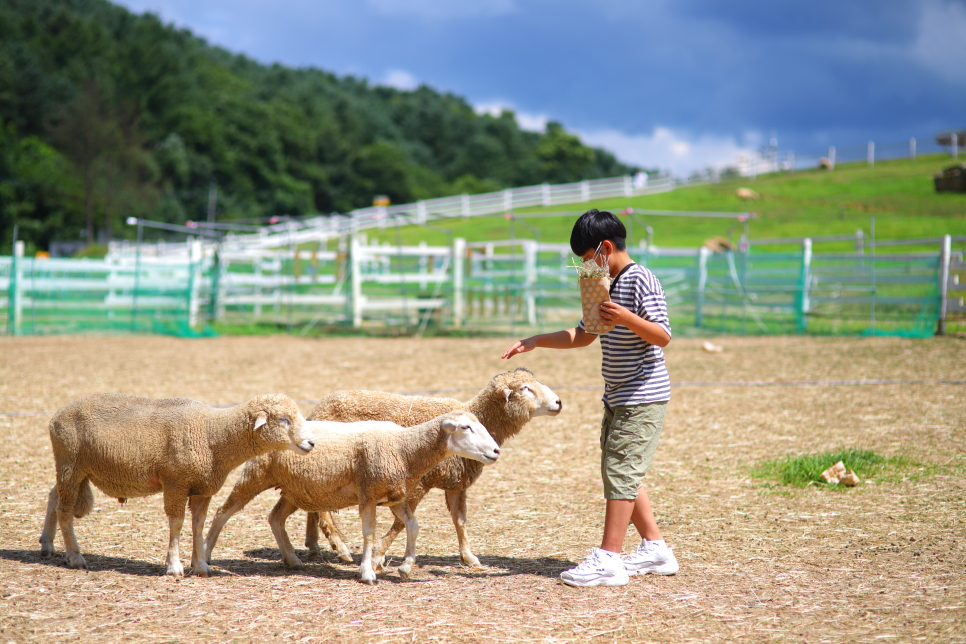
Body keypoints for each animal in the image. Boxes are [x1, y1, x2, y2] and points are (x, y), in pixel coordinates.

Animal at [38, 392, 318, 580]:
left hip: (76, 469)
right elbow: (177, 523)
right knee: (65, 510)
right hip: (70, 463)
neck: (213, 435)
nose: (312, 443)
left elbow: (198, 524)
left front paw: (201, 565)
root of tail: (56, 415)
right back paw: (75, 557)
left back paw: (47, 544)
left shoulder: (202, 488)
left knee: (54, 496)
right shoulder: (176, 482)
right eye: (283, 419)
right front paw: (174, 566)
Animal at [203, 412, 500, 584]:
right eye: (465, 427)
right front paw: (367, 572)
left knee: (275, 518)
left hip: (295, 489)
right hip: (255, 475)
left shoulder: (395, 497)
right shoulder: (369, 493)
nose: (496, 451)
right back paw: (204, 555)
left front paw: (405, 567)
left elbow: (413, 526)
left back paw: (292, 559)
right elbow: (369, 532)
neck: (404, 448)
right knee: (223, 512)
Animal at [306, 368, 564, 568]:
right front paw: (379, 555)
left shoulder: (456, 483)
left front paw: (469, 557)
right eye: (524, 388)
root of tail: (316, 409)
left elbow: (460, 521)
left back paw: (314, 544)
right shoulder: (418, 483)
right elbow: (402, 522)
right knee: (322, 509)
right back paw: (340, 546)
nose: (559, 402)